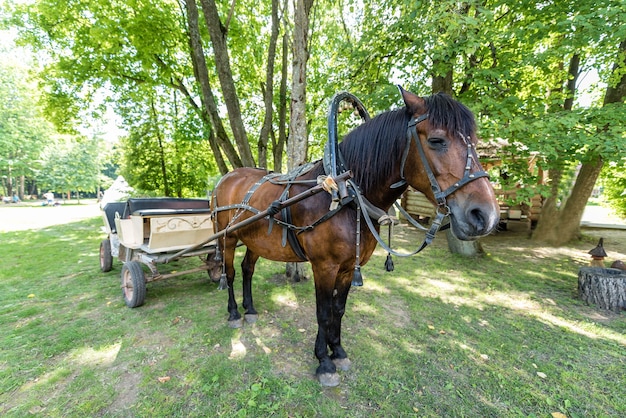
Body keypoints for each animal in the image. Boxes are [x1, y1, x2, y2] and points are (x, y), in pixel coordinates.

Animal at [210, 87, 498, 386]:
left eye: (475, 142)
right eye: (436, 140)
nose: (484, 215)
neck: (345, 194)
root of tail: (226, 178)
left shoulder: (348, 268)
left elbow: (338, 309)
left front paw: (337, 350)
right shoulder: (324, 266)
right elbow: (323, 312)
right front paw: (324, 361)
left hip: (255, 240)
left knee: (247, 269)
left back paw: (250, 310)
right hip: (227, 238)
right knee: (230, 273)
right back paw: (234, 312)